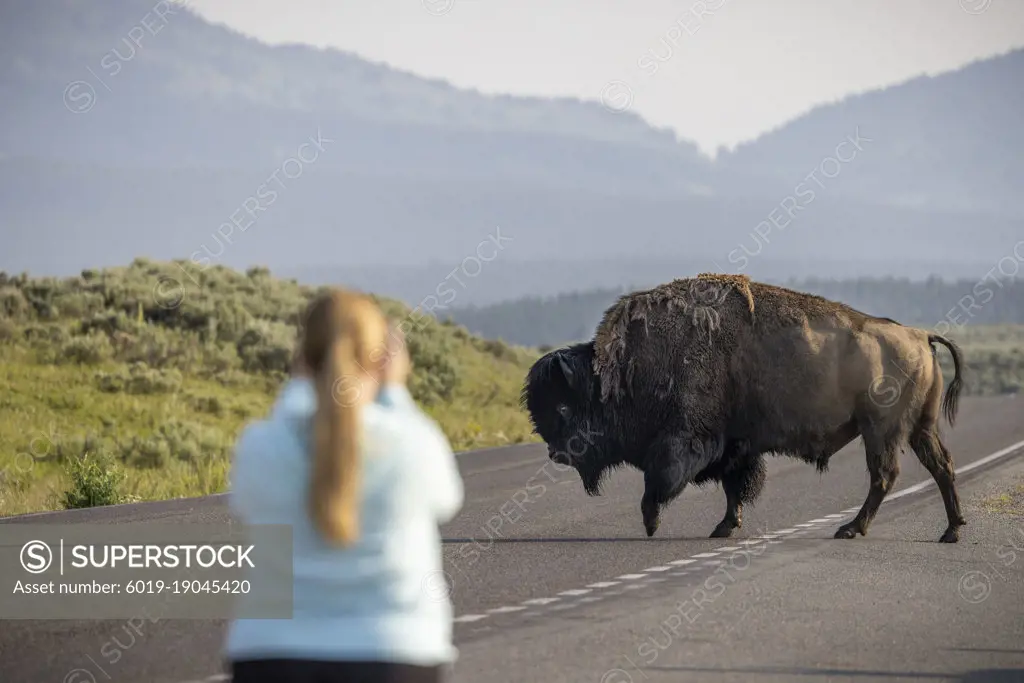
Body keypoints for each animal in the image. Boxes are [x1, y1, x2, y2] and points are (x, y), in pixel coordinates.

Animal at [520, 272, 966, 544]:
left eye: (564, 407)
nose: (556, 453)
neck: (622, 370)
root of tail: (919, 335)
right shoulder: (735, 447)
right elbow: (735, 486)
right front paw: (724, 526)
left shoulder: (685, 442)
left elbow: (661, 482)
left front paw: (651, 523)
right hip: (919, 428)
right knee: (940, 466)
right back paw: (951, 531)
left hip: (881, 431)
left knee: (885, 475)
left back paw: (852, 529)